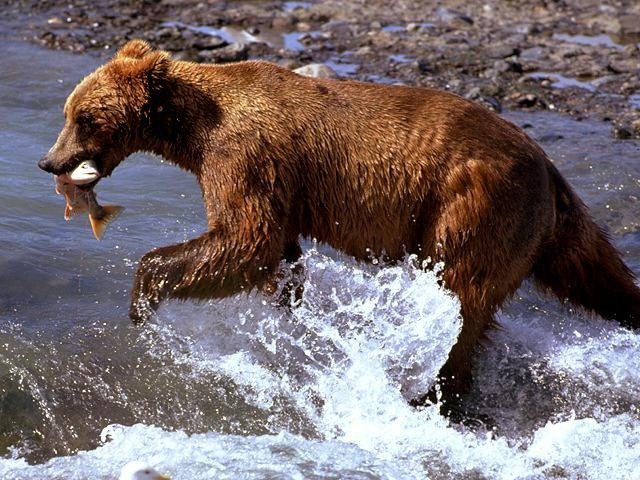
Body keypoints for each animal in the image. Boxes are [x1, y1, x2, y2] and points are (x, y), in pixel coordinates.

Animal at [39, 40, 640, 407]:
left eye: (83, 117)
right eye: (69, 112)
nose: (50, 161)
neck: (194, 130)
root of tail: (547, 166)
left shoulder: (246, 155)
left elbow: (245, 239)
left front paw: (142, 299)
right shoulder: (279, 183)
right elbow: (276, 252)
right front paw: (290, 309)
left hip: (477, 204)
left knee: (463, 297)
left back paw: (432, 392)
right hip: (549, 223)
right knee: (594, 272)